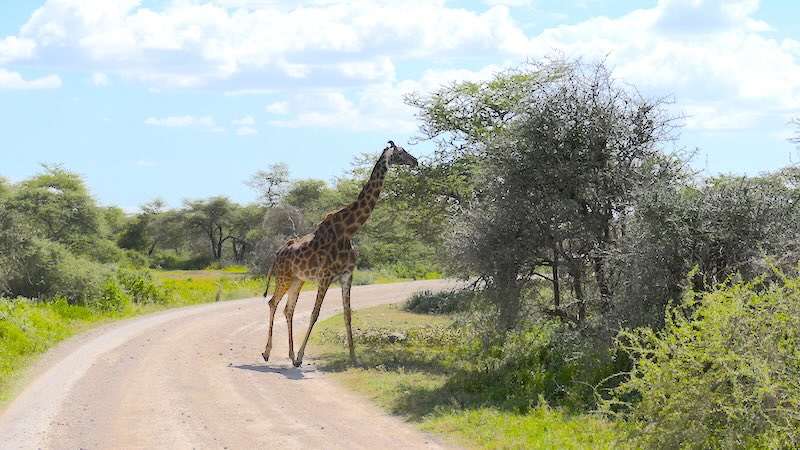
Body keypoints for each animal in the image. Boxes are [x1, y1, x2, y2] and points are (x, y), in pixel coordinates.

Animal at [261, 141, 418, 367]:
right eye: (401, 152)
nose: (415, 161)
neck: (349, 230)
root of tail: (277, 253)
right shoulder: (325, 276)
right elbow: (315, 314)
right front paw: (300, 357)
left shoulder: (347, 276)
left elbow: (347, 315)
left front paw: (355, 358)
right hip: (284, 276)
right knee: (272, 302)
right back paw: (267, 353)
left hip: (297, 279)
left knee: (288, 309)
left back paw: (289, 355)